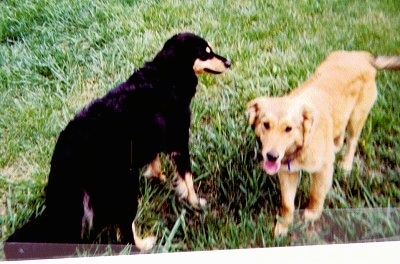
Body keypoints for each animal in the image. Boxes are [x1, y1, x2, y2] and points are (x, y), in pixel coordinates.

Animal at [4, 32, 231, 260]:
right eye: (206, 53)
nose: (229, 62)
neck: (167, 74)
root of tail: (65, 154)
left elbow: (154, 160)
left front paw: (158, 177)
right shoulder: (179, 141)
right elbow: (188, 180)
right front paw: (195, 203)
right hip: (126, 186)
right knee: (125, 231)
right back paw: (145, 244)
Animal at [247, 51, 400, 237]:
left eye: (288, 129)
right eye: (266, 124)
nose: (271, 156)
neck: (302, 144)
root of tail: (362, 55)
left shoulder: (323, 170)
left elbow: (316, 193)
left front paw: (312, 214)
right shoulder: (286, 172)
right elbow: (287, 203)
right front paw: (283, 226)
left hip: (356, 118)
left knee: (352, 141)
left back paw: (346, 165)